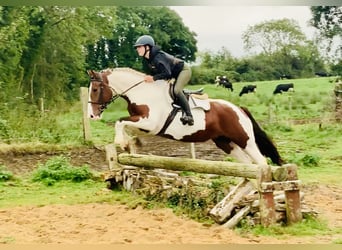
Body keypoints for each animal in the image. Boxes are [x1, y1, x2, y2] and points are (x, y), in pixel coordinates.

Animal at [87, 68, 284, 166]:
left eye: (95, 89)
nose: (91, 115)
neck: (142, 92)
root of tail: (239, 109)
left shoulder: (151, 123)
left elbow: (119, 122)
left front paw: (121, 142)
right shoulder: (143, 124)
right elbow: (126, 125)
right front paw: (129, 143)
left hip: (244, 140)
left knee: (261, 162)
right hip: (225, 143)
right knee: (247, 165)